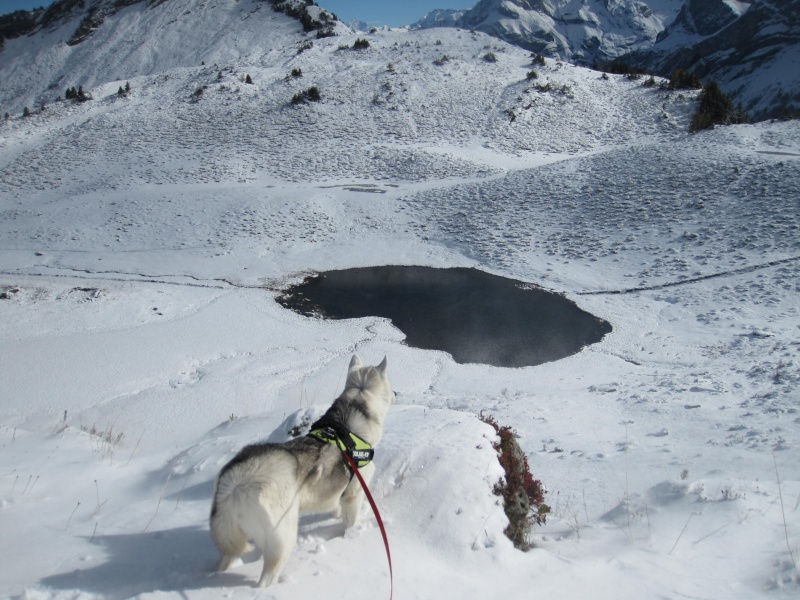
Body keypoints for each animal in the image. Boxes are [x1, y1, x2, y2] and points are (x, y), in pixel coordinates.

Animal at [208, 356, 392, 584]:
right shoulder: (355, 492)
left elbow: (335, 507)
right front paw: (349, 535)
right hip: (283, 537)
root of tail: (237, 482)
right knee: (267, 576)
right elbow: (350, 521)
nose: (395, 394)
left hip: (230, 537)